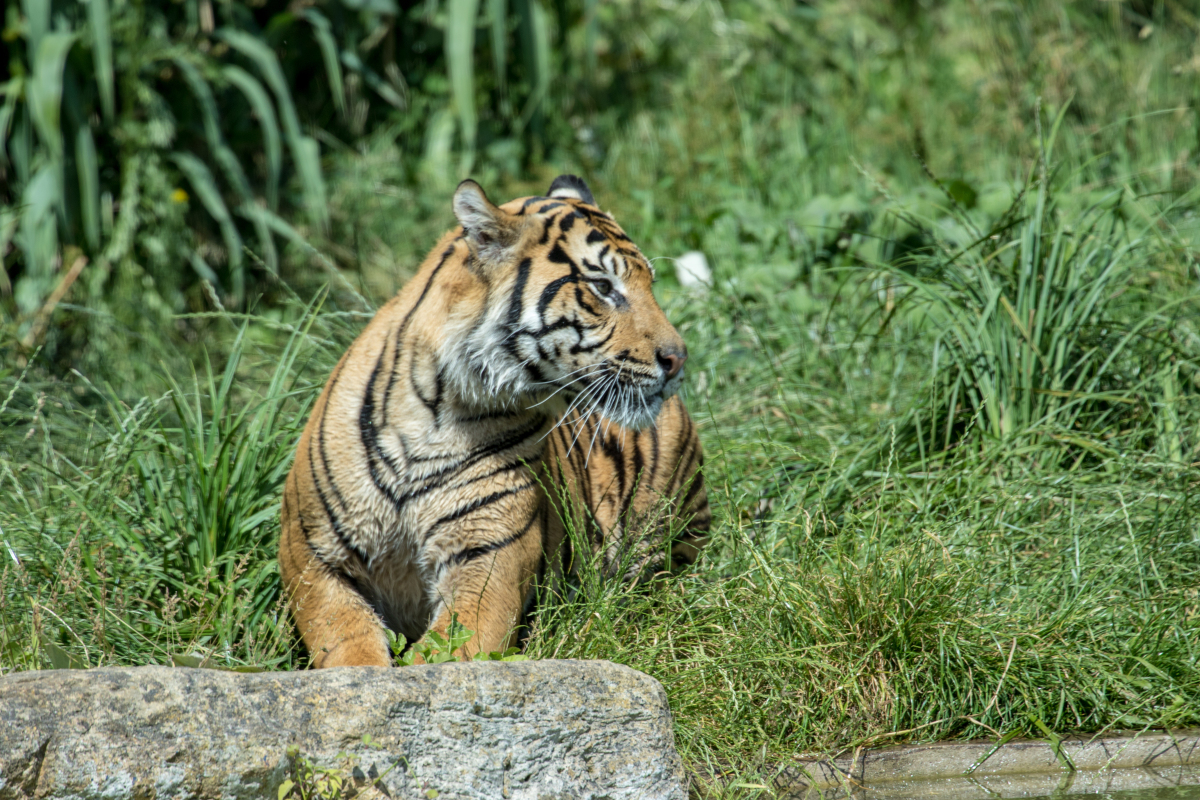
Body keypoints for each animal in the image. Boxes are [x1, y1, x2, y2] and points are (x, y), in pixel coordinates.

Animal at [278, 176, 710, 671]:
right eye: (603, 286)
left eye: (650, 285)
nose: (678, 359)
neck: (438, 412)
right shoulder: (309, 552)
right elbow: (348, 643)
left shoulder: (488, 558)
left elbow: (440, 656)